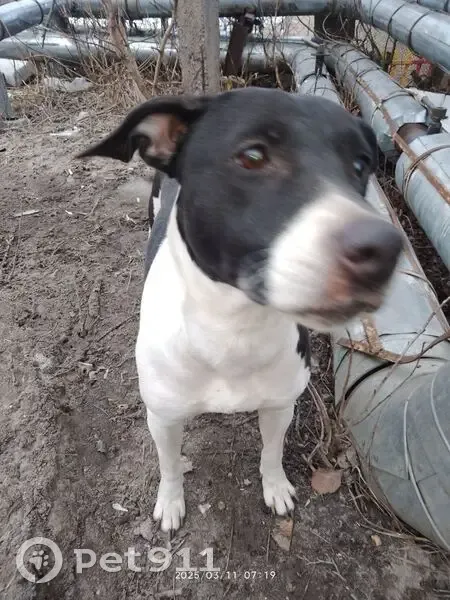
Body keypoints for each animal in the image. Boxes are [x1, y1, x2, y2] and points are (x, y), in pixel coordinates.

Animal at [79, 87, 402, 532]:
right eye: (252, 156)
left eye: (360, 165)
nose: (383, 249)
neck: (233, 329)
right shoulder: (162, 418)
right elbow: (169, 466)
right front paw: (170, 502)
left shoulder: (280, 405)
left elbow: (271, 452)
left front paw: (276, 487)